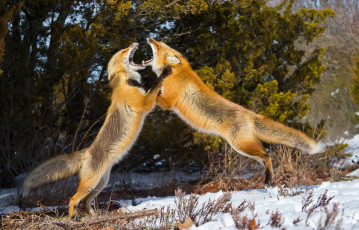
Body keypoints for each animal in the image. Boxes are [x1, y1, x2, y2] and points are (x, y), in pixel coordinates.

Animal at [21, 42, 172, 217]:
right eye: (124, 51)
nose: (134, 43)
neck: (126, 82)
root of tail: (87, 151)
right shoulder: (144, 104)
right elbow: (156, 84)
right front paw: (165, 72)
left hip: (100, 184)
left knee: (86, 202)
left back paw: (93, 216)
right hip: (91, 184)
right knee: (73, 199)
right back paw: (72, 217)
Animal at [144, 37, 326, 185]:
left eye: (158, 46)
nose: (149, 37)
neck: (176, 72)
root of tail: (249, 113)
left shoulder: (168, 102)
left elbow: (151, 92)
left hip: (241, 146)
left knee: (267, 156)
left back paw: (269, 180)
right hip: (244, 147)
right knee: (264, 158)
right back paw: (269, 179)